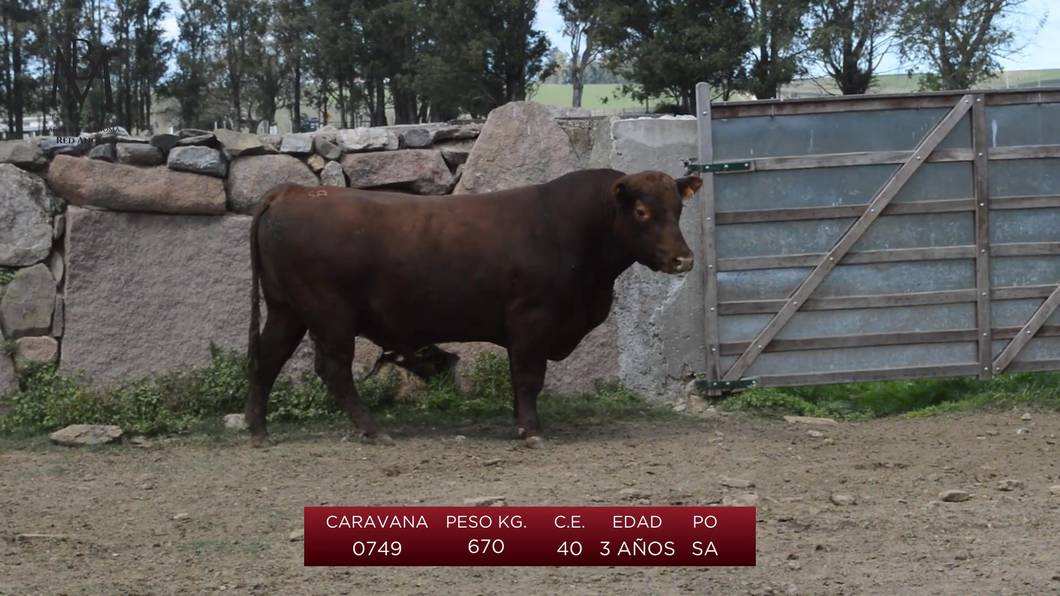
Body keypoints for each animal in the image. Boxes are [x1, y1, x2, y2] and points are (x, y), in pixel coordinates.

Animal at [243, 165, 699, 445]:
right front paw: (532, 430)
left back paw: (259, 429)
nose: (684, 259)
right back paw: (373, 429)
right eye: (641, 211)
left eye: (678, 209)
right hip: (330, 315)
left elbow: (519, 380)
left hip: (286, 311)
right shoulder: (532, 319)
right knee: (333, 369)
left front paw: (519, 423)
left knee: (267, 358)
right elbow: (529, 378)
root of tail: (292, 191)